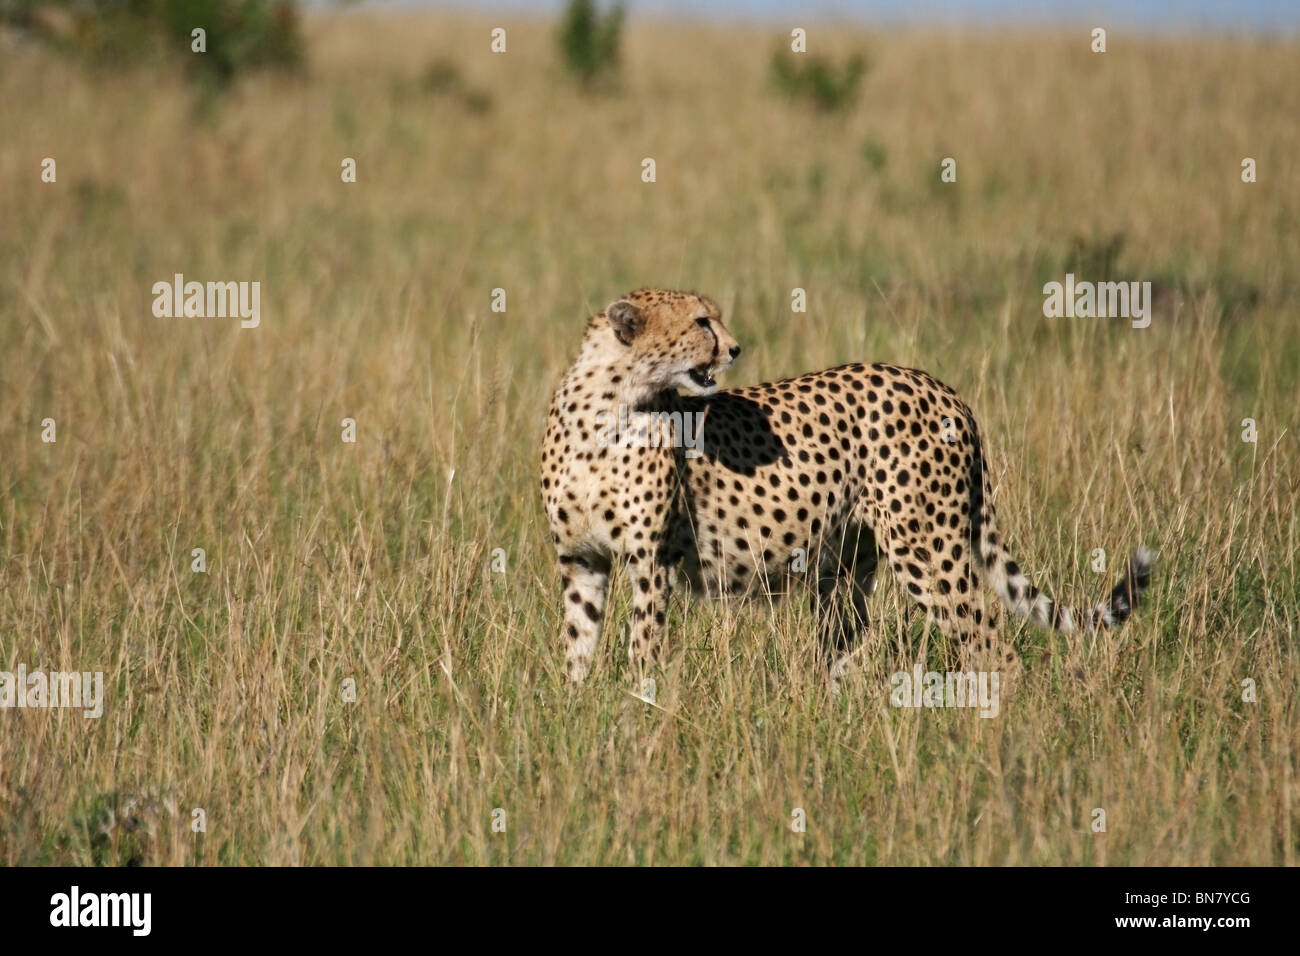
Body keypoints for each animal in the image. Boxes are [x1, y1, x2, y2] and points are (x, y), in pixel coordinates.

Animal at [540, 287, 1159, 691]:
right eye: (700, 323)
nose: (736, 348)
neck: (609, 403)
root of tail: (942, 387)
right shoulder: (581, 559)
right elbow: (577, 640)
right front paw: (575, 709)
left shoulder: (651, 557)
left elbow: (642, 644)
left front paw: (637, 711)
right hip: (846, 566)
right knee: (846, 648)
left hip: (926, 549)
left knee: (990, 643)